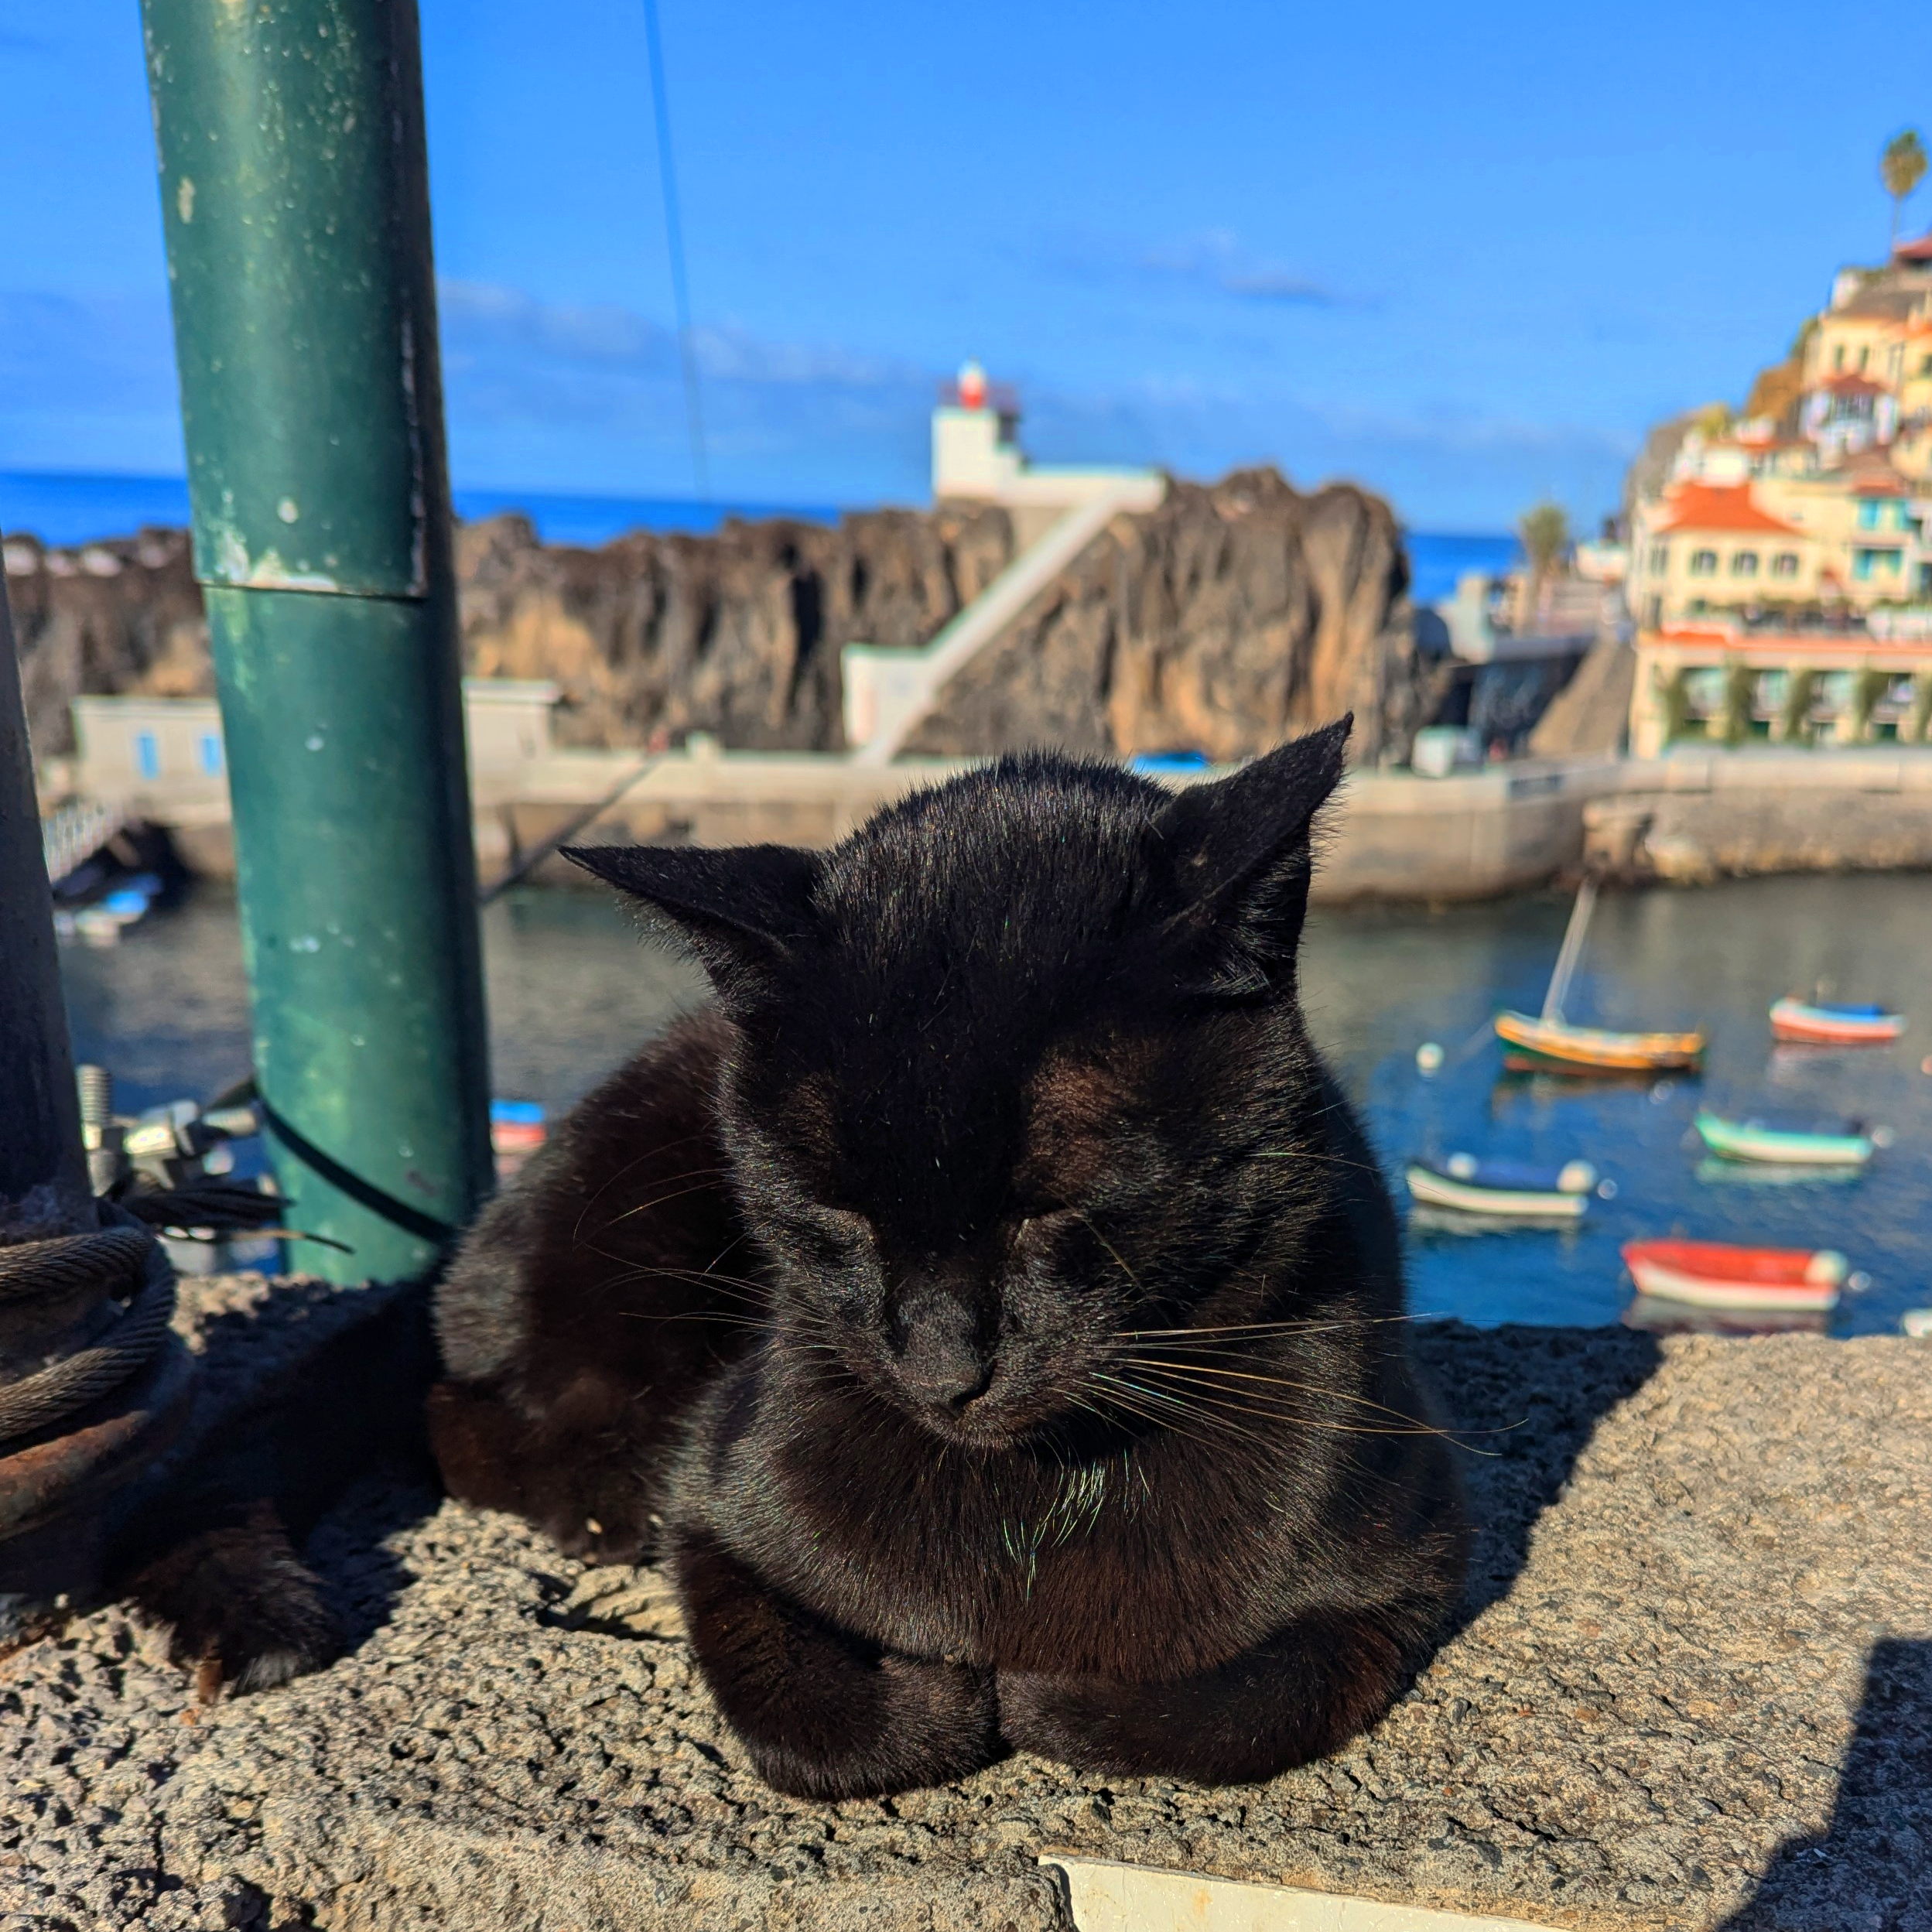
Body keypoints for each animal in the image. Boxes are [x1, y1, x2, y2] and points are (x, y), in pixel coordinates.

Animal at [434, 722, 1460, 1793]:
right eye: (838, 1210)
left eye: (1050, 1207)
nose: (939, 1370)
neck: (1039, 1502)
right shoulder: (717, 1502)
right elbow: (795, 1705)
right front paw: (940, 1699)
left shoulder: (1405, 1556)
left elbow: (1250, 1707)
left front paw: (1044, 1694)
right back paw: (602, 1504)